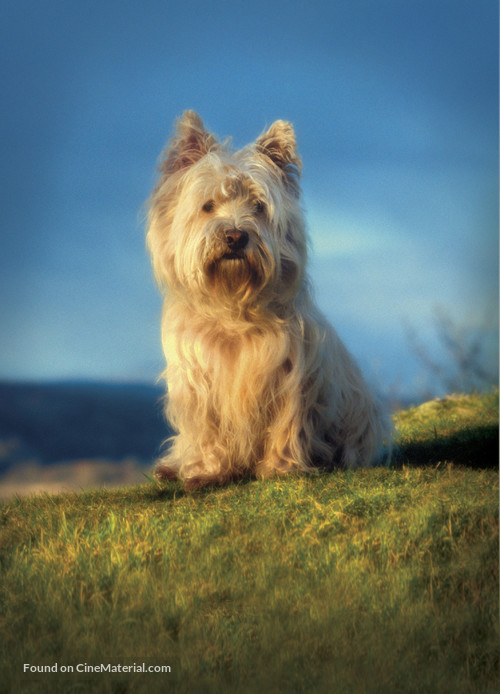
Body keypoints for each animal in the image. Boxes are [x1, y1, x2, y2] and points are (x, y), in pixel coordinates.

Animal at [146, 110, 388, 490]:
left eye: (259, 206)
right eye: (207, 205)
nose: (235, 236)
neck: (232, 303)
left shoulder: (289, 373)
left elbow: (286, 423)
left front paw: (281, 468)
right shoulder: (197, 379)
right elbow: (206, 429)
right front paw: (206, 471)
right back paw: (172, 467)